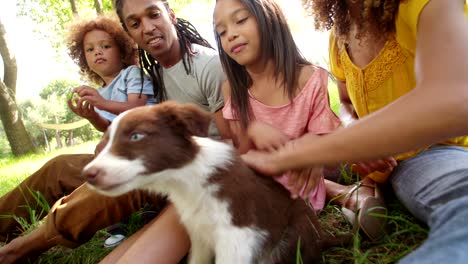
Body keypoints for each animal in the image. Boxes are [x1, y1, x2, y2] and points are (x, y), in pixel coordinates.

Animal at [83, 101, 348, 264]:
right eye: (106, 142)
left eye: (136, 136)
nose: (88, 174)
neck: (189, 180)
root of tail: (323, 238)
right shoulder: (199, 235)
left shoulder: (238, 236)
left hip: (289, 240)